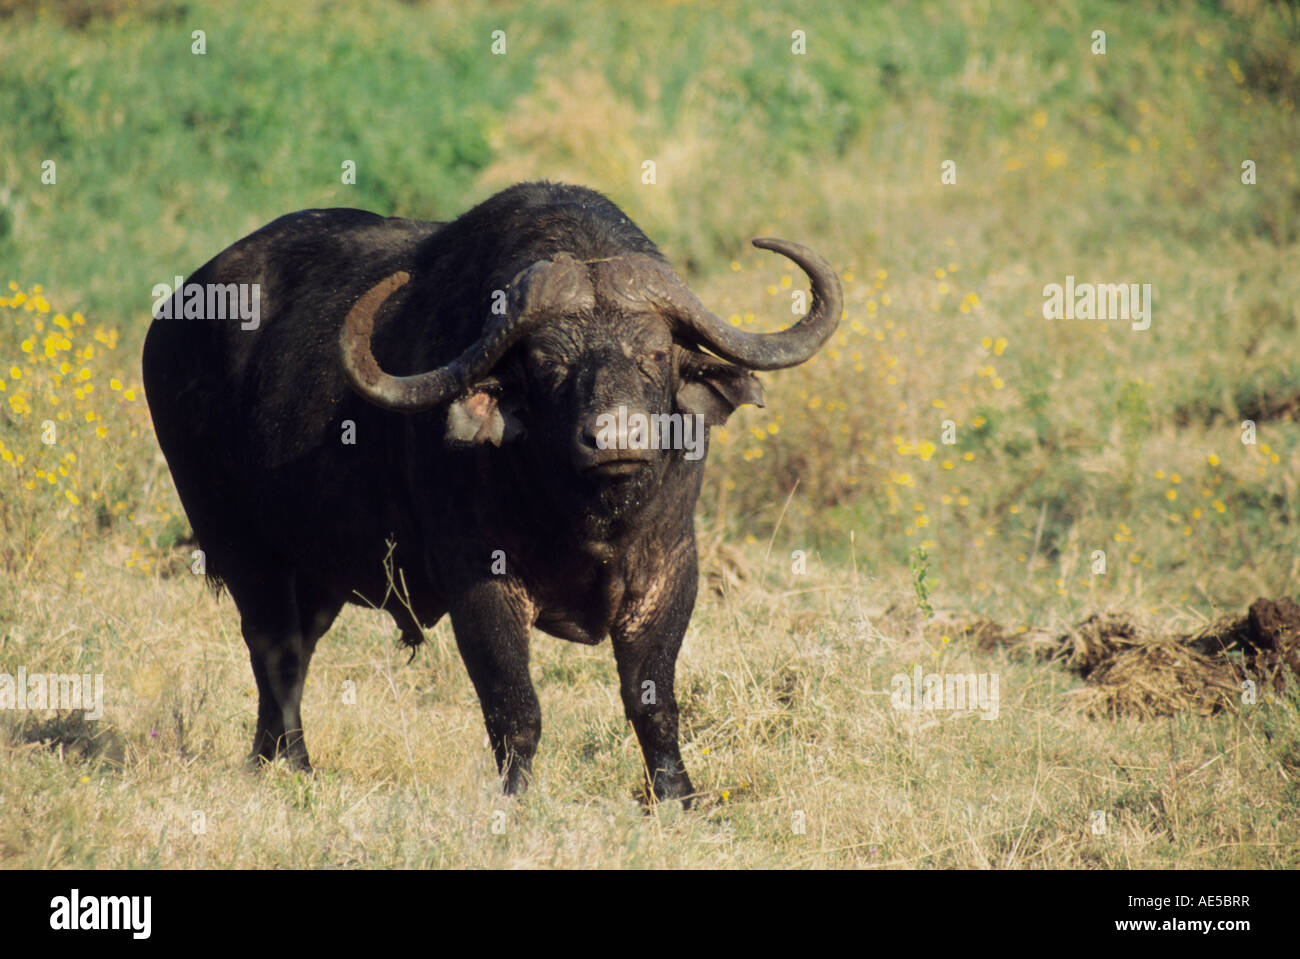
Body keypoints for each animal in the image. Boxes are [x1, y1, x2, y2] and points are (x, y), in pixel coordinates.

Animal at [139, 178, 832, 800]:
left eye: (656, 354)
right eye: (549, 362)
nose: (615, 437)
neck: (583, 514)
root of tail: (176, 317)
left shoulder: (669, 572)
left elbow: (653, 703)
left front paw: (678, 796)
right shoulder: (480, 582)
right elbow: (514, 708)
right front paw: (516, 800)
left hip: (315, 572)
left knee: (295, 652)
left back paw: (273, 763)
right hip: (238, 545)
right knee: (274, 653)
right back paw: (292, 767)